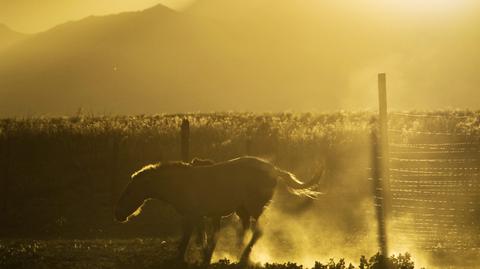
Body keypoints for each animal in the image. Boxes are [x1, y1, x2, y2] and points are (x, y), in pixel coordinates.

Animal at [114, 156, 324, 262]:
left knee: (257, 232)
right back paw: (238, 252)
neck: (178, 183)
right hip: (243, 210)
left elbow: (190, 238)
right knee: (246, 231)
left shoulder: (193, 215)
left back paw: (243, 256)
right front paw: (205, 255)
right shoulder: (200, 216)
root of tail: (274, 169)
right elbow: (204, 237)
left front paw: (183, 258)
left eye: (129, 193)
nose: (118, 215)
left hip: (253, 207)